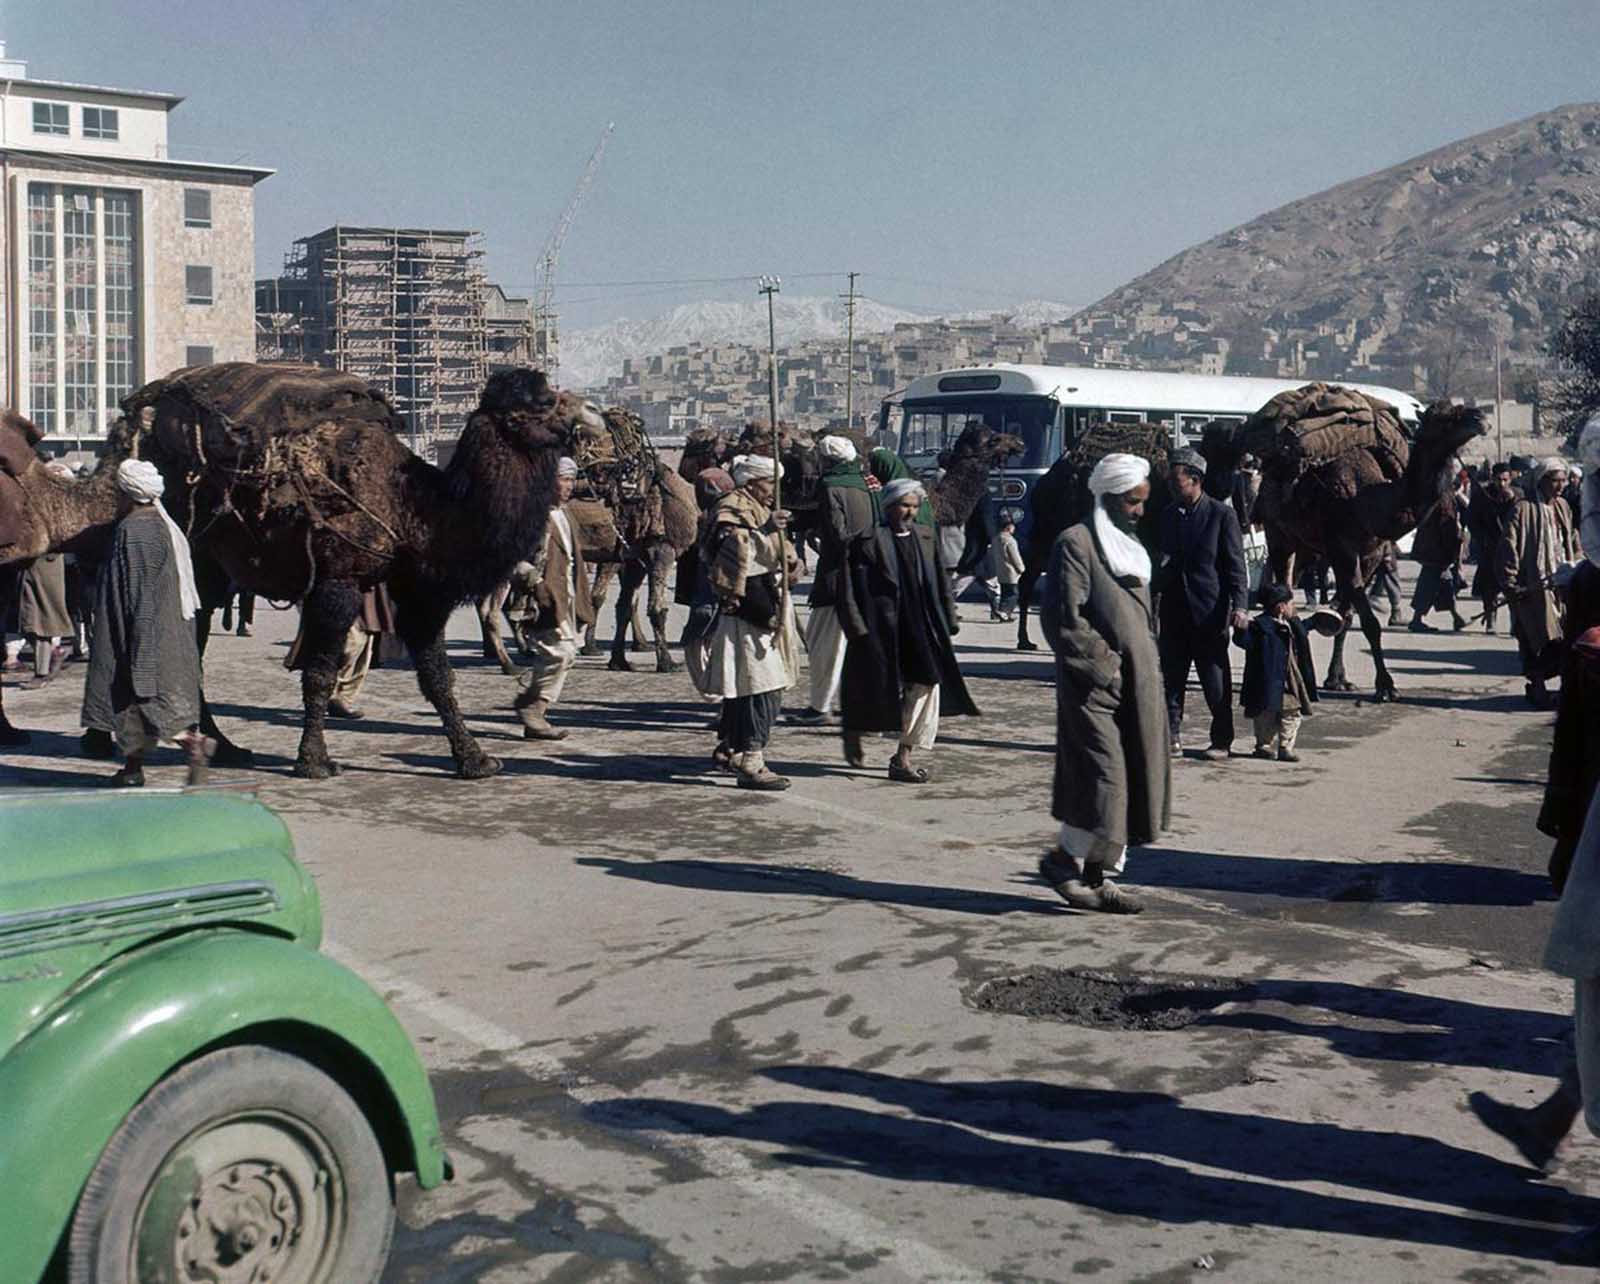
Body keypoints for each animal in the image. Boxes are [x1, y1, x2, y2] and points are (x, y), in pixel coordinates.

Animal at [128, 360, 601, 781]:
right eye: (543, 400)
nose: (594, 411)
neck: (414, 507)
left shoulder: (418, 593)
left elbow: (438, 678)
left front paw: (475, 759)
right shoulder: (337, 583)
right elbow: (320, 674)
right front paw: (314, 762)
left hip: (207, 574)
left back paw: (221, 746)